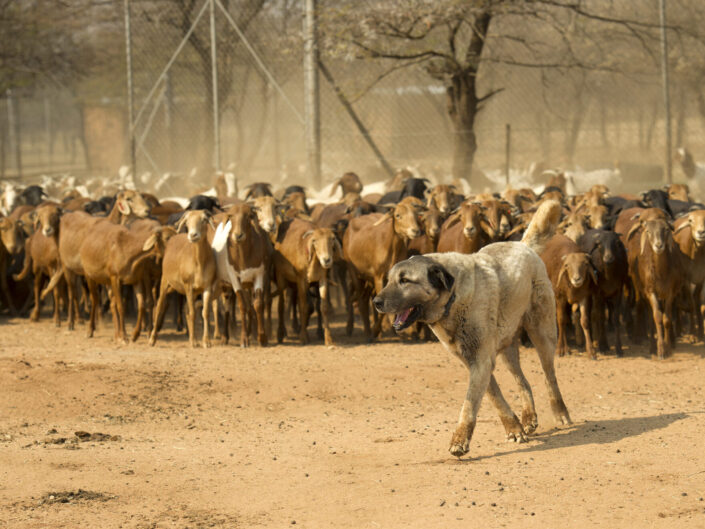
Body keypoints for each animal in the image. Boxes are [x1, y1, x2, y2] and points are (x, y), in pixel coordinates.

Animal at [372, 200, 568, 456]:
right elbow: (494, 396)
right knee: (522, 381)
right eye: (389, 280)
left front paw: (459, 441)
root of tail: (523, 245)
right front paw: (514, 429)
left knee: (549, 377)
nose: (375, 302)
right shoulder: (473, 360)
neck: (453, 298)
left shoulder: (480, 360)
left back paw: (560, 412)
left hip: (542, 334)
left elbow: (469, 404)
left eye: (405, 281)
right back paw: (528, 418)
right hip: (507, 348)